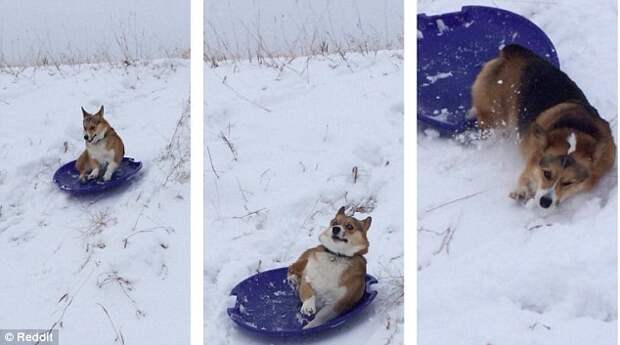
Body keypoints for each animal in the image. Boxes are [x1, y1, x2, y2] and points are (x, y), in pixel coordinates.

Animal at [472, 44, 612, 208]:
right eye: (547, 174)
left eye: (568, 183)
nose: (545, 202)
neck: (576, 128)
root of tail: (514, 51)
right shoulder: (532, 160)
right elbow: (524, 177)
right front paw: (521, 191)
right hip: (493, 118)